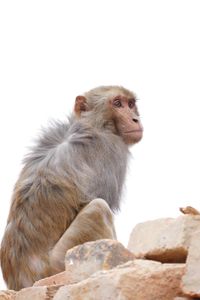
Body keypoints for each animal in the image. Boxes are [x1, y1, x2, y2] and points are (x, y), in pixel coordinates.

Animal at [0, 85, 144, 290]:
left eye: (130, 104)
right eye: (117, 103)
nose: (135, 119)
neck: (92, 125)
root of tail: (21, 282)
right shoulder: (111, 148)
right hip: (58, 265)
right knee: (98, 208)